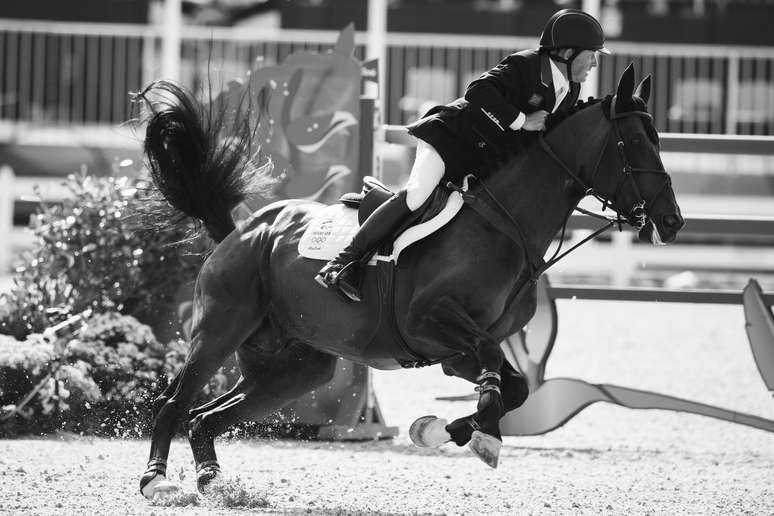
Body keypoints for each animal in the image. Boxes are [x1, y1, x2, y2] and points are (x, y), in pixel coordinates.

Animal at [136, 62, 684, 498]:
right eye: (636, 142)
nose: (672, 222)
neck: (505, 224)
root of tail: (244, 229)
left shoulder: (455, 352)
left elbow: (513, 387)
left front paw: (446, 431)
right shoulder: (434, 324)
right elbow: (498, 379)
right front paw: (473, 434)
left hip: (294, 366)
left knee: (207, 417)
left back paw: (212, 480)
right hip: (220, 330)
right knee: (174, 404)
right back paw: (157, 481)